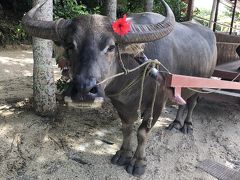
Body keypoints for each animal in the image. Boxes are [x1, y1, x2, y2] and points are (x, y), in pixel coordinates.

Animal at [23, 0, 218, 176]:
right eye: (71, 45)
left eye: (110, 47)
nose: (84, 90)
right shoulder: (121, 103)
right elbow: (127, 128)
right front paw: (123, 154)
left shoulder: (157, 104)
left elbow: (142, 133)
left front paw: (138, 163)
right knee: (182, 103)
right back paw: (176, 123)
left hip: (201, 83)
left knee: (191, 104)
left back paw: (187, 125)